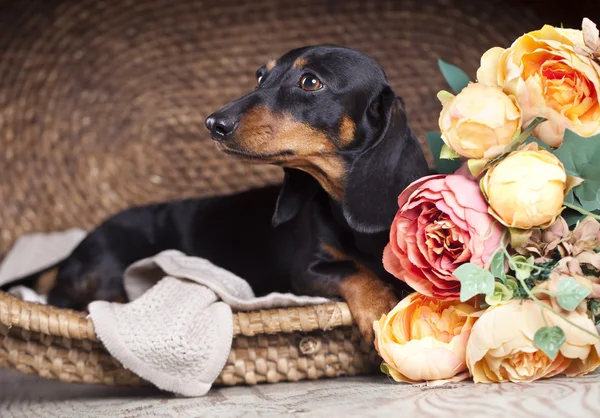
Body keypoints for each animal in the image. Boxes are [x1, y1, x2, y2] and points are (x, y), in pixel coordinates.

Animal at [49, 45, 428, 342]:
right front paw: (380, 307)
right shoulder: (305, 271)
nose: (213, 123)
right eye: (260, 76)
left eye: (310, 82)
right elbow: (354, 270)